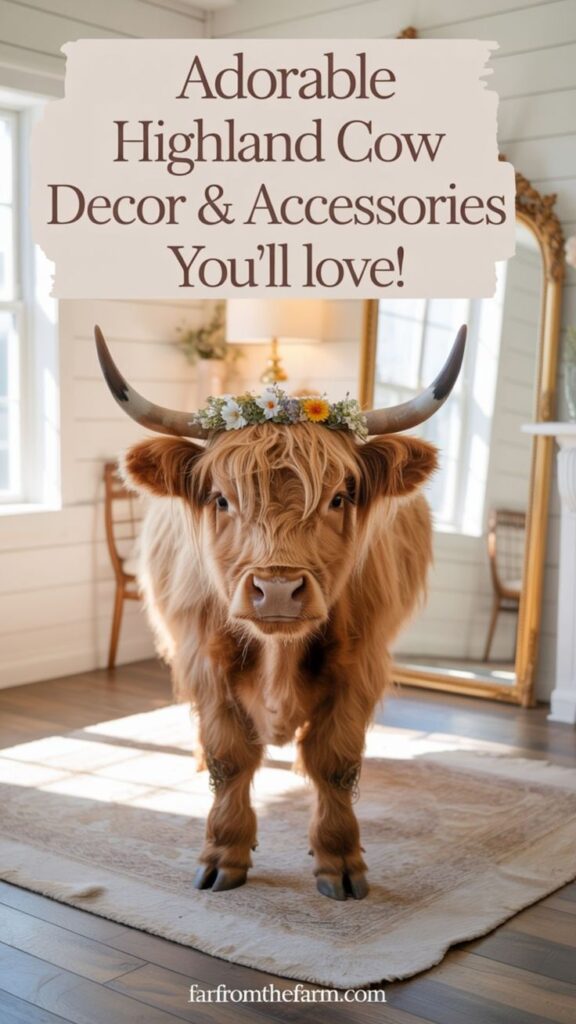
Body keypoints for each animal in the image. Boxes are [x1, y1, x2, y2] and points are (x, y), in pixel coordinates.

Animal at [95, 323, 466, 901]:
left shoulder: (360, 665)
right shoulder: (204, 660)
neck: (278, 656)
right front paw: (224, 853)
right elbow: (228, 758)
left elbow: (334, 761)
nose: (276, 589)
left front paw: (339, 860)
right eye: (221, 499)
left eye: (338, 498)